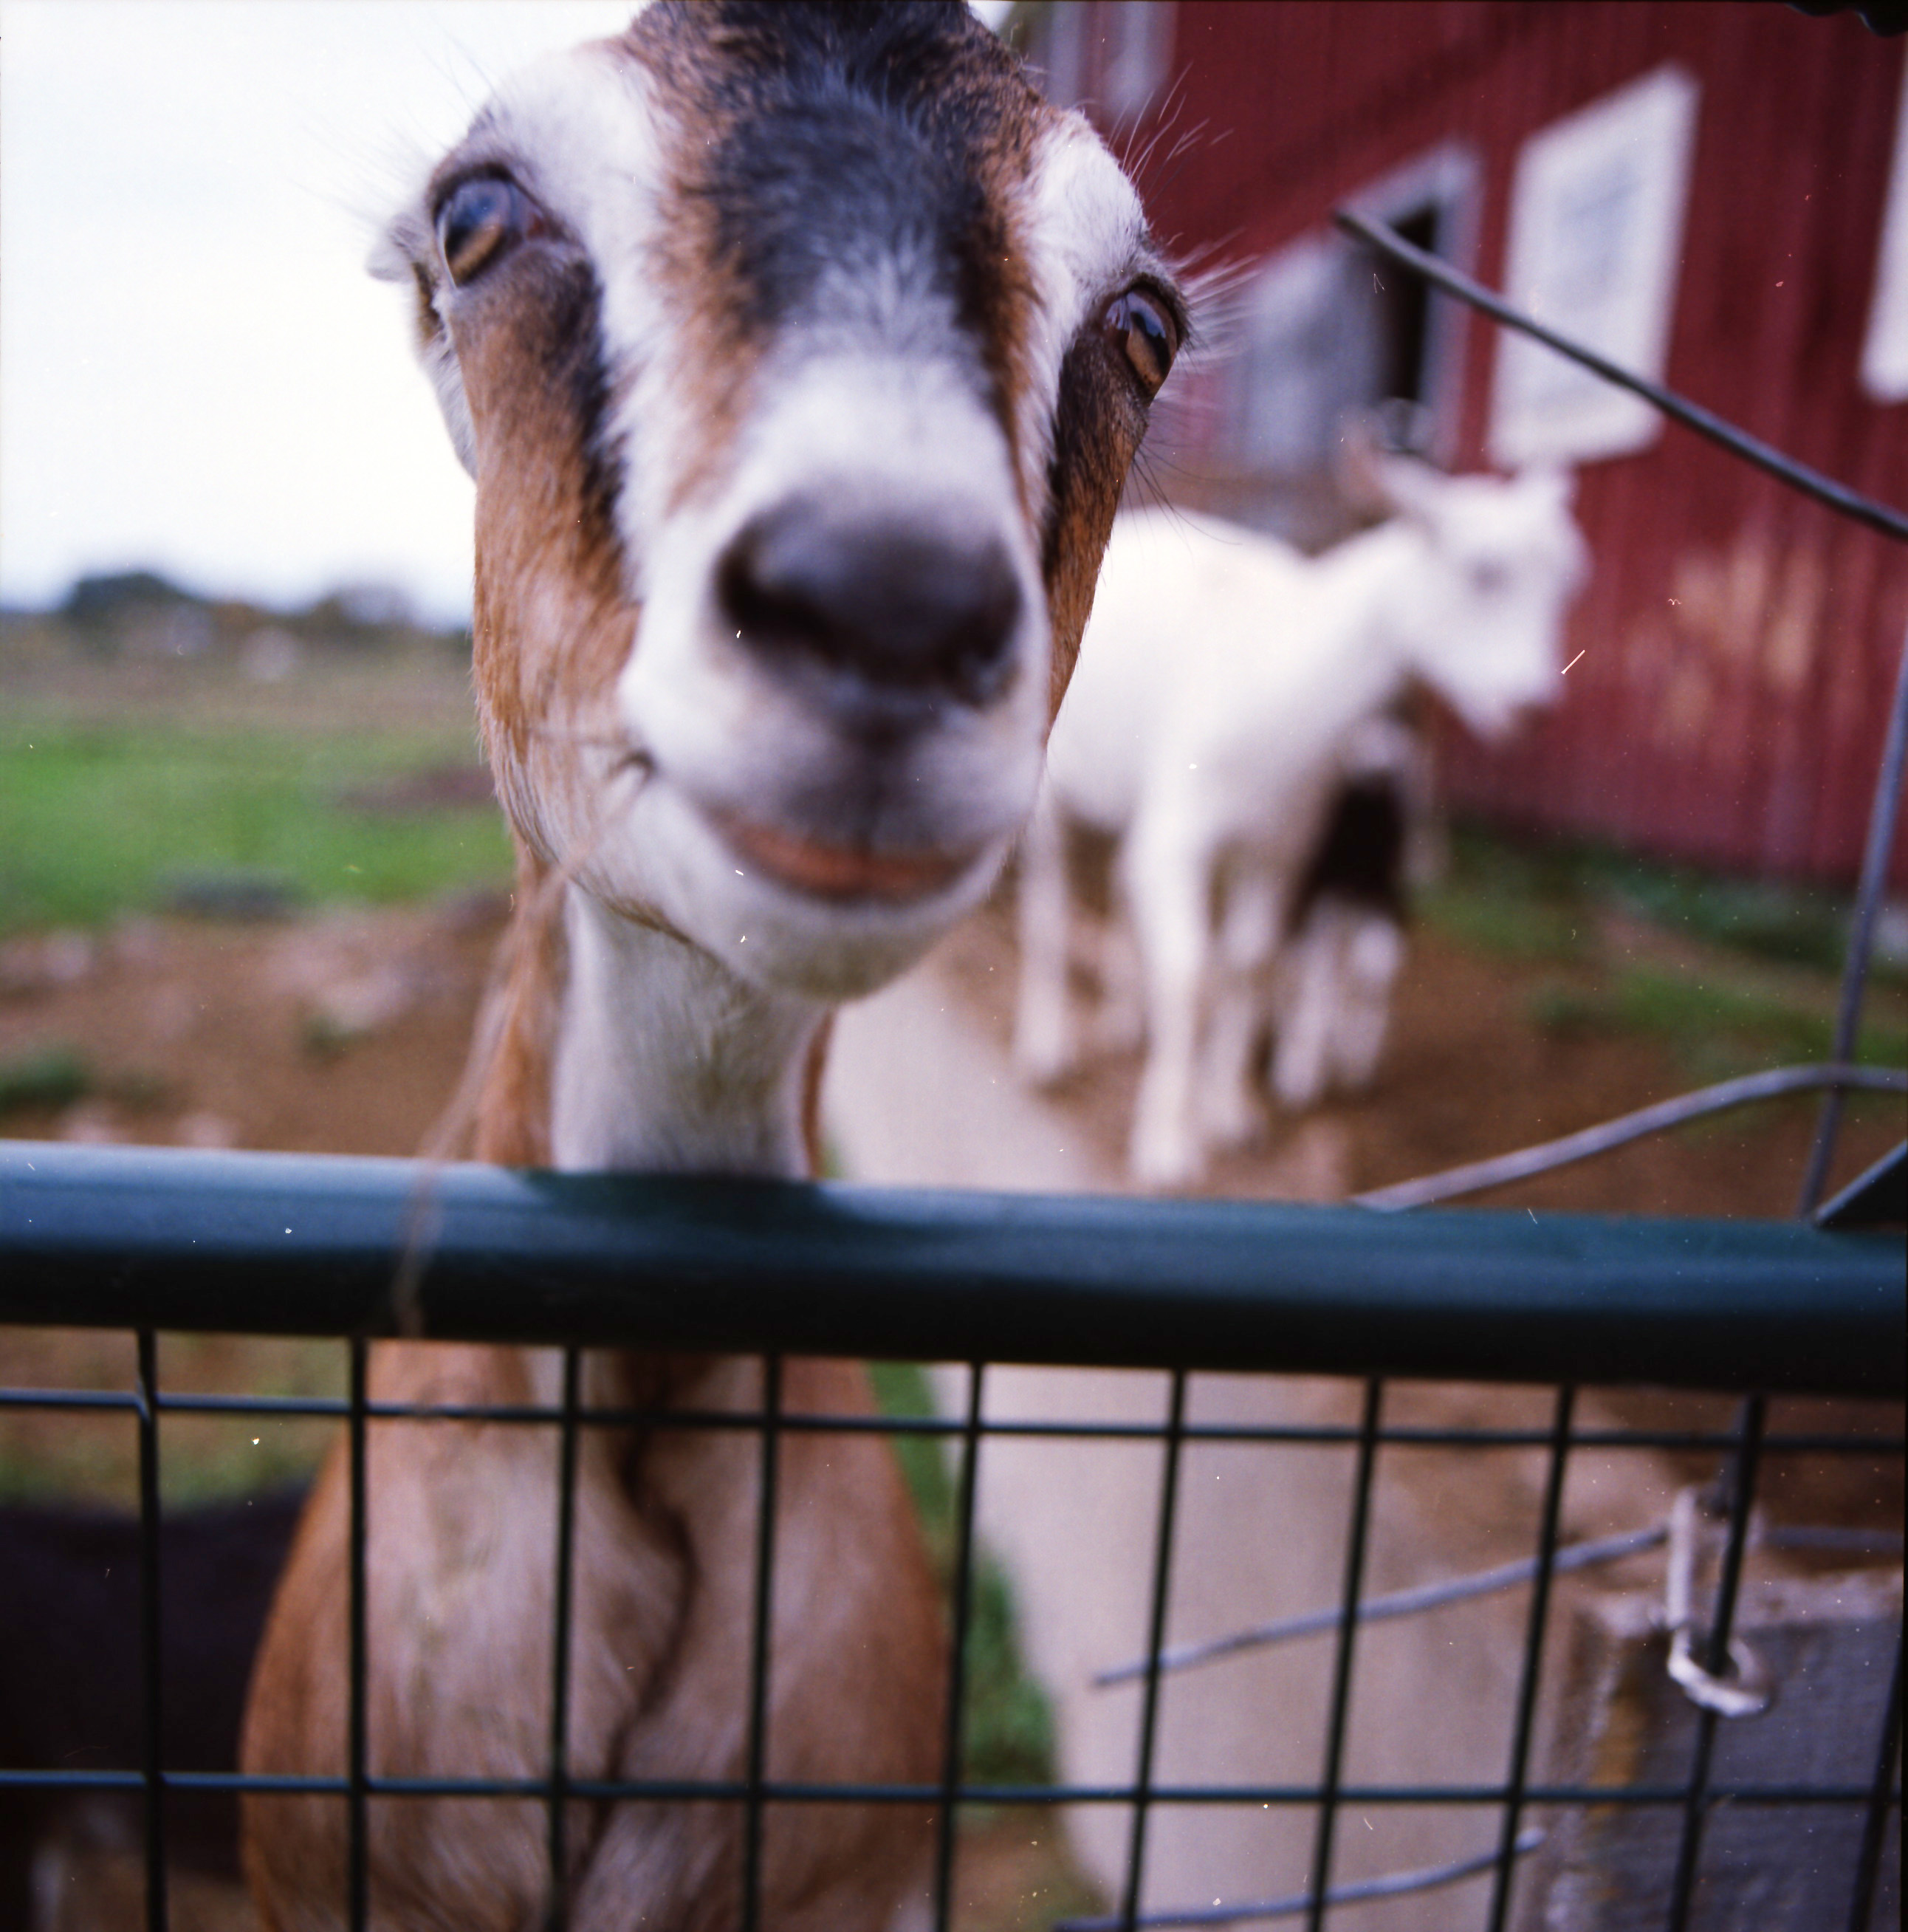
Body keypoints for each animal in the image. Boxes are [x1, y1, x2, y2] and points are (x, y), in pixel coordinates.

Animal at [1014, 458, 1587, 1188]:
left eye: (1567, 584)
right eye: (1481, 571)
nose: (1533, 707)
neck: (1290, 677)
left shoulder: (1284, 848)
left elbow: (1250, 967)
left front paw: (1228, 1113)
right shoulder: (1184, 834)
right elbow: (1192, 977)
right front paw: (1168, 1142)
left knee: (1119, 882)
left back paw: (1121, 1018)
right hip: (1045, 786)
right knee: (1049, 903)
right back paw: (1046, 1049)